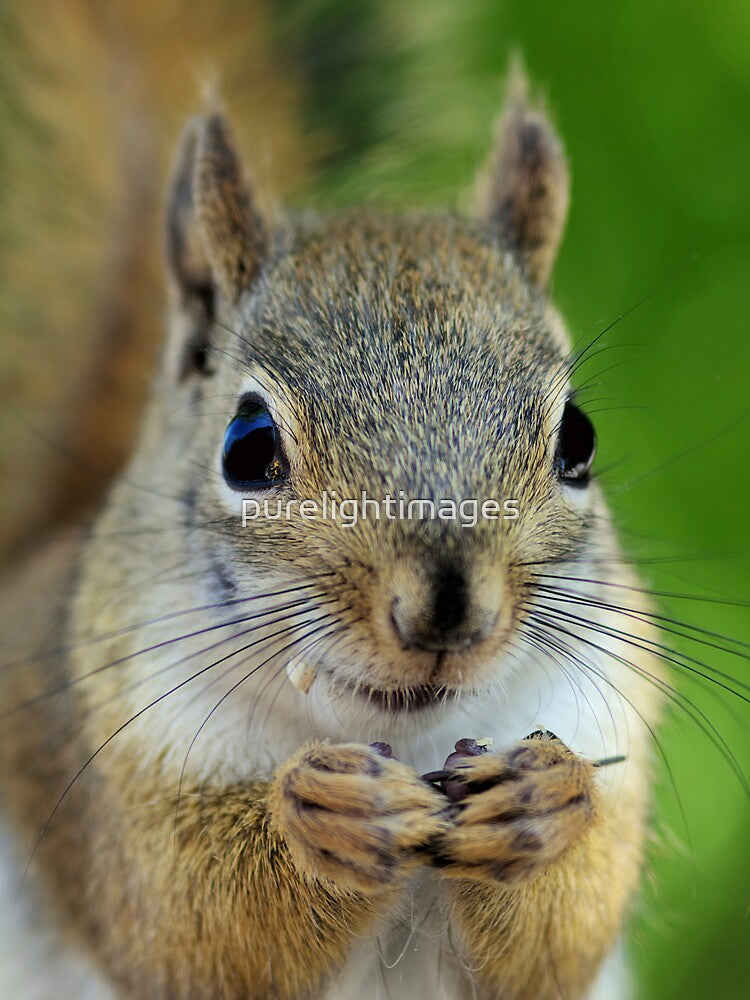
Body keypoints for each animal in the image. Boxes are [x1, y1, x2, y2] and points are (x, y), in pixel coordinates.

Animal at [0, 56, 666, 1000]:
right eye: (247, 447)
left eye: (578, 439)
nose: (447, 611)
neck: (405, 735)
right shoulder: (106, 756)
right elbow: (180, 914)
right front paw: (329, 811)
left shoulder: (605, 706)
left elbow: (561, 937)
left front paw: (546, 799)